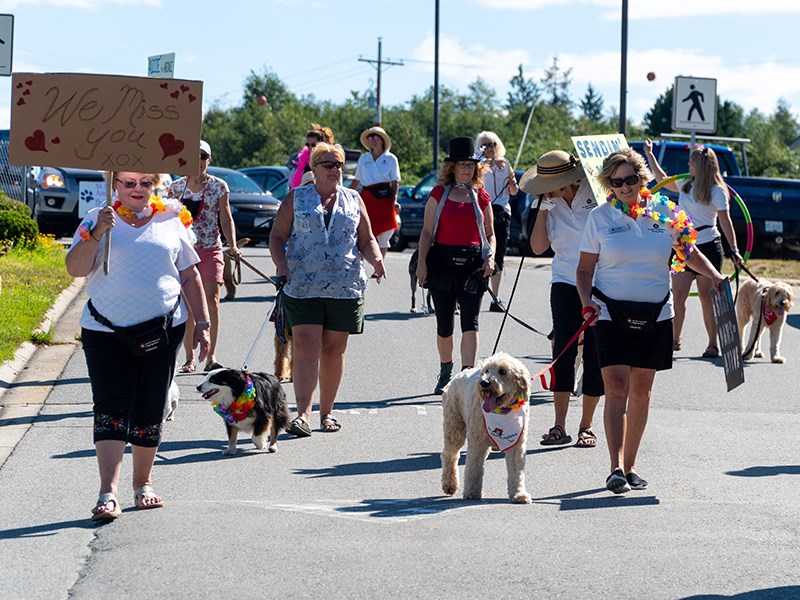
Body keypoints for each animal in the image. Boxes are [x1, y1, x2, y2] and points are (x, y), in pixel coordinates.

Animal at [440, 350, 536, 504]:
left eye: (503, 371)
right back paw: (450, 484)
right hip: (454, 427)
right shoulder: (477, 443)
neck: (502, 411)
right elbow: (473, 468)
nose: (484, 383)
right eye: (486, 371)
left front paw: (519, 494)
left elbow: (517, 472)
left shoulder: (516, 446)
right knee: (450, 455)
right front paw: (471, 493)